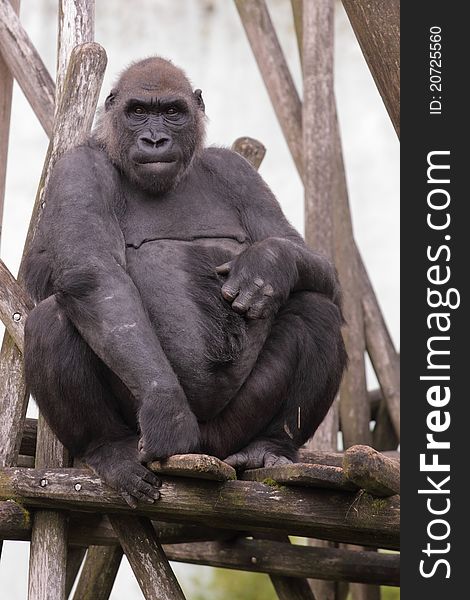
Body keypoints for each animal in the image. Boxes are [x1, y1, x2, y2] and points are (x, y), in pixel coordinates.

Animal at [23, 57, 346, 506]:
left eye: (172, 112)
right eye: (139, 111)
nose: (155, 139)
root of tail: (208, 451)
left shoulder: (237, 170)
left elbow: (311, 260)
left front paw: (269, 263)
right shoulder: (77, 169)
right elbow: (94, 277)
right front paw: (166, 409)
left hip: (229, 434)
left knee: (315, 306)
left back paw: (270, 446)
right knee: (54, 317)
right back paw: (110, 450)